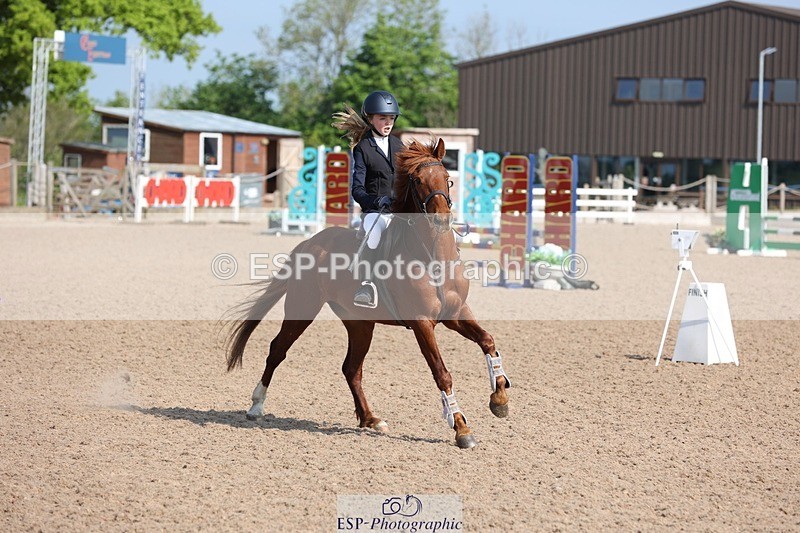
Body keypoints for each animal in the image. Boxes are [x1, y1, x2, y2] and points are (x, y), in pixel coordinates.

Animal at [225, 137, 511, 449]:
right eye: (417, 180)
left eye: (447, 178)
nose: (441, 220)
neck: (434, 256)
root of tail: (308, 243)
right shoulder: (422, 323)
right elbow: (442, 373)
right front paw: (461, 428)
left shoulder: (456, 313)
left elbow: (488, 341)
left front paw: (499, 399)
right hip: (304, 307)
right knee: (278, 349)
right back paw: (256, 406)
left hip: (360, 323)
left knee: (351, 368)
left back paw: (370, 419)